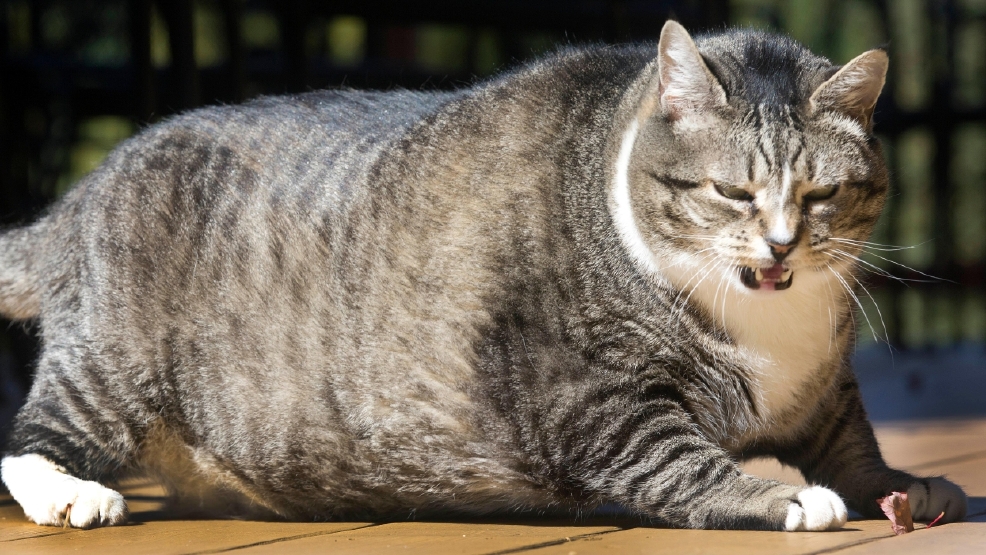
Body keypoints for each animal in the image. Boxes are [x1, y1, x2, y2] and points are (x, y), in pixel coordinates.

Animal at [0, 21, 968, 532]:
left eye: (820, 194)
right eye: (732, 191)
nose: (778, 247)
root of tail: (80, 196)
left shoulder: (823, 387)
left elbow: (851, 442)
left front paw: (904, 482)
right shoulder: (598, 408)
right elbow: (689, 464)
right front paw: (784, 497)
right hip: (111, 364)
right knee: (30, 438)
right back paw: (73, 494)